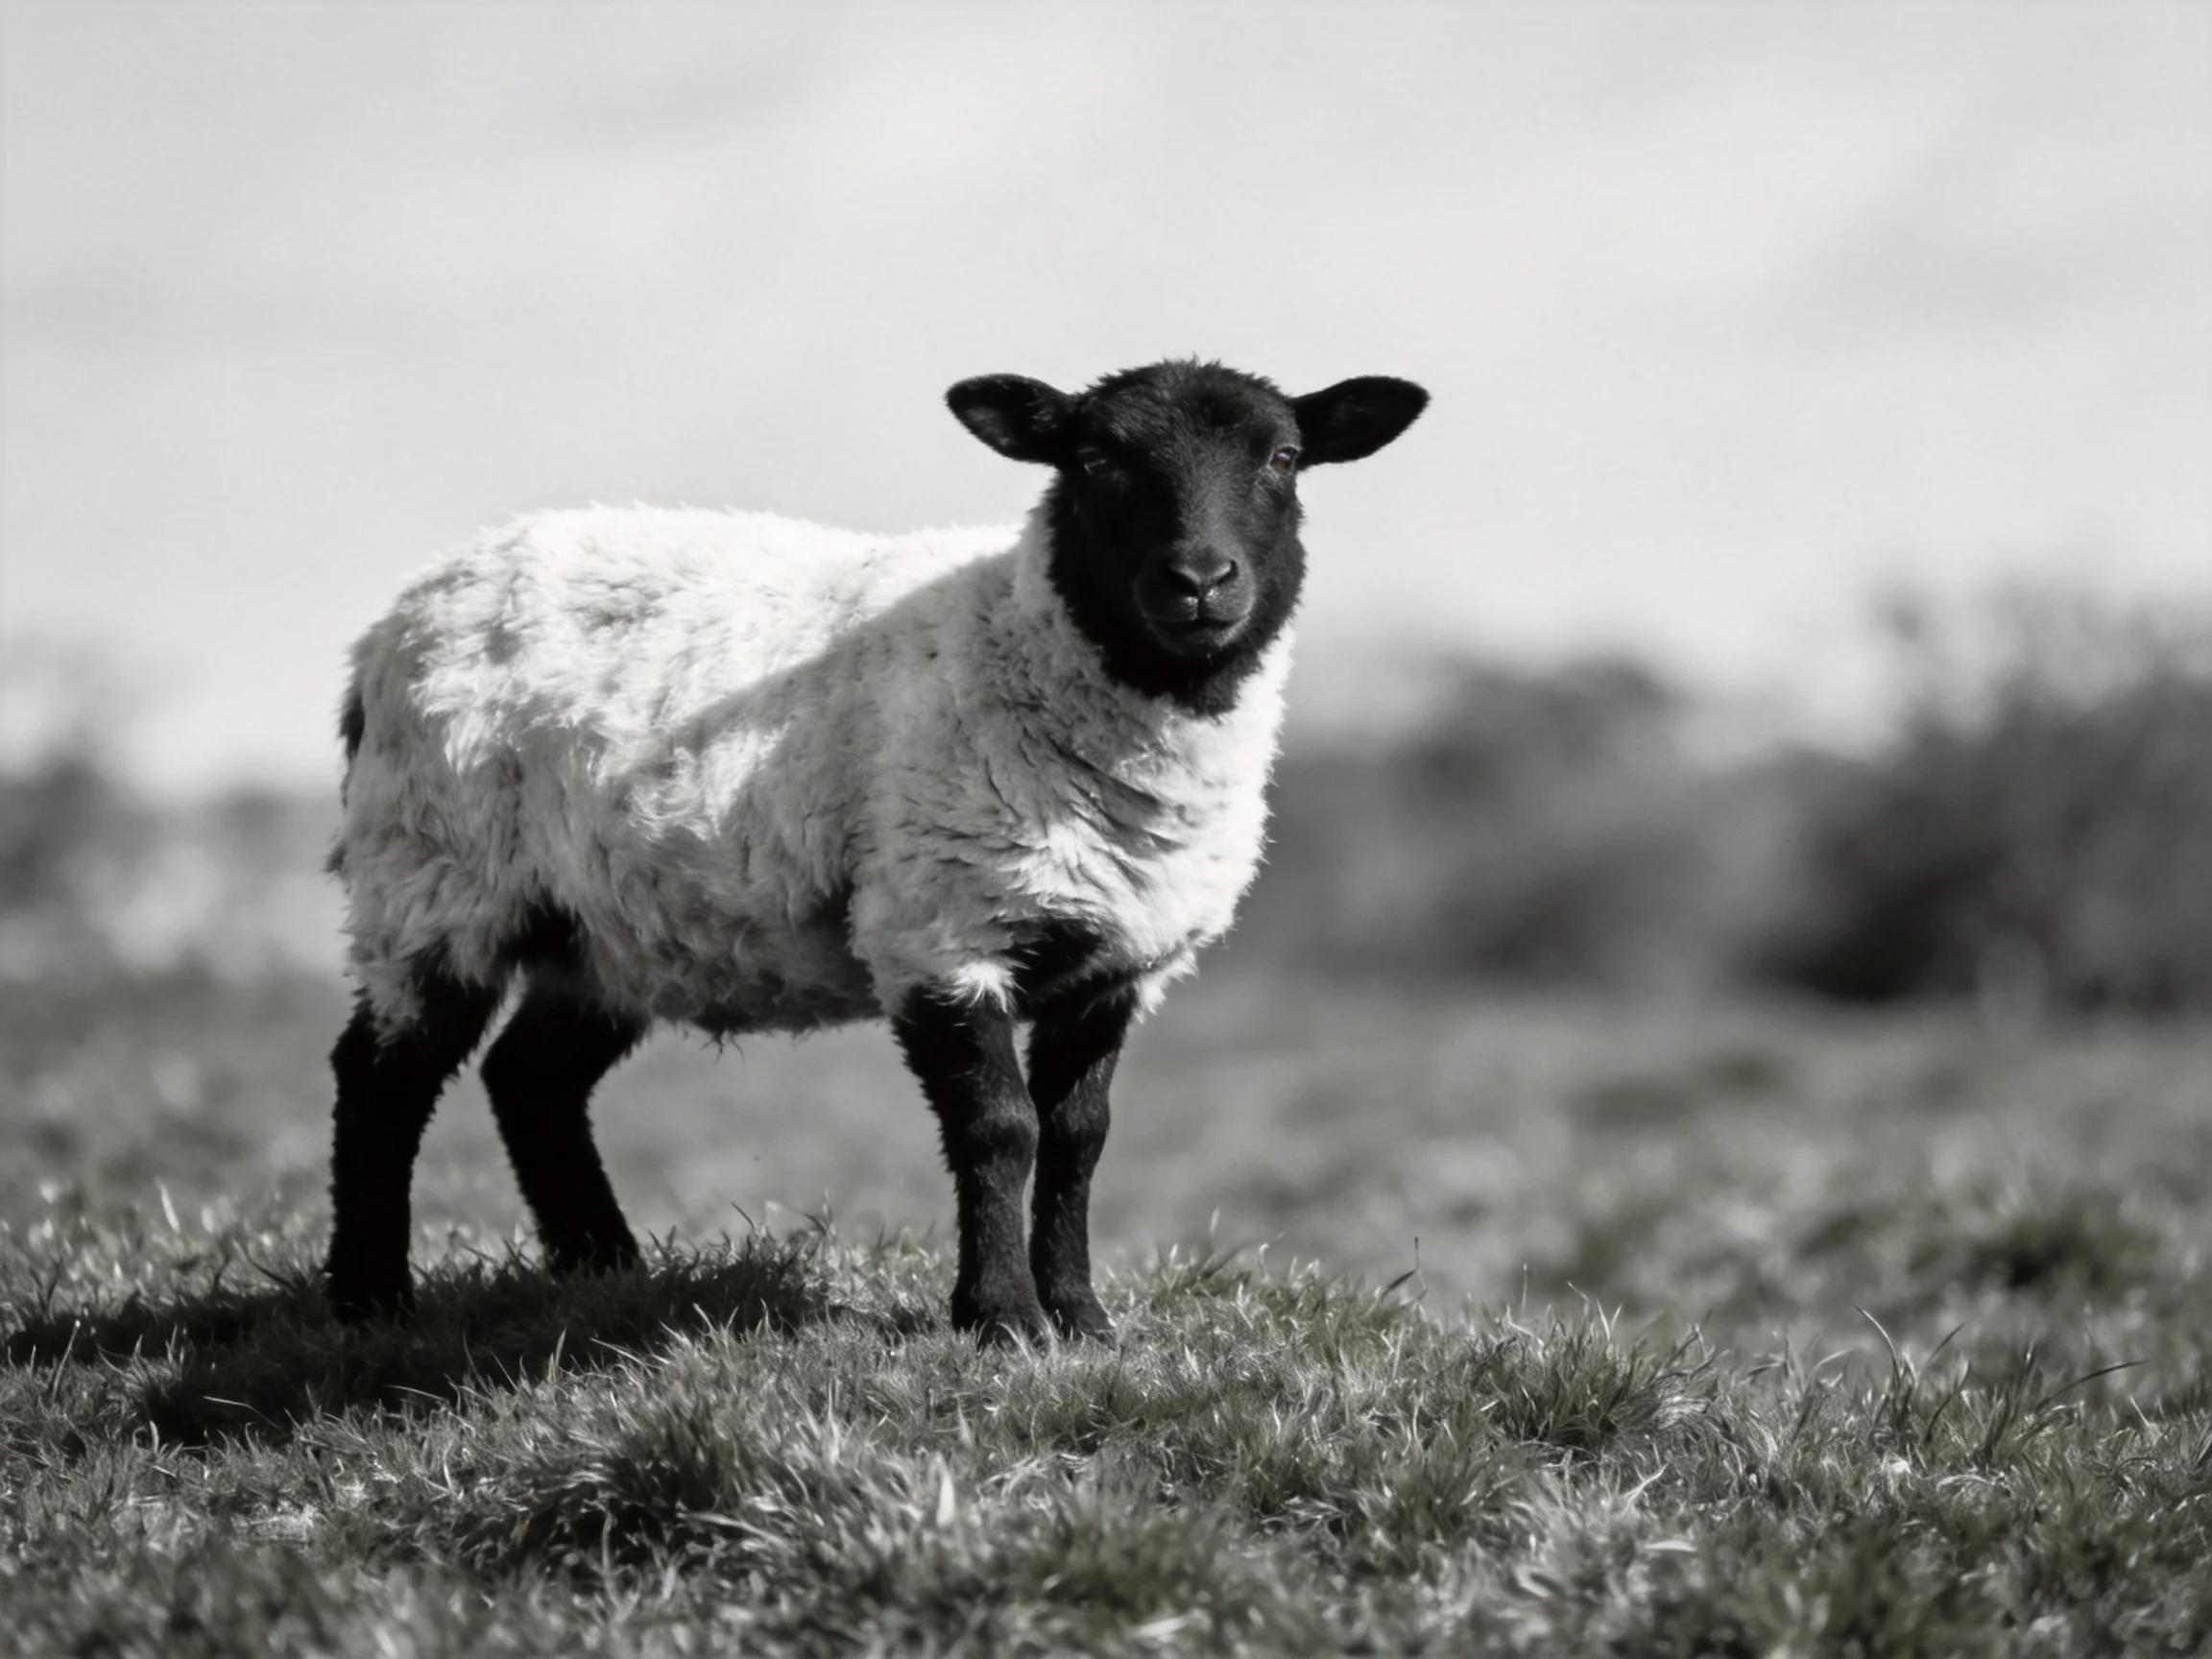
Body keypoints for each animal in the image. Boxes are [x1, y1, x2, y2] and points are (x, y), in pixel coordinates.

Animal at [324, 358, 1428, 1342]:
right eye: (1096, 459)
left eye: (1283, 457)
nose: (1200, 580)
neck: (1030, 641)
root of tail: (386, 630)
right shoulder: (939, 926)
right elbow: (1001, 1128)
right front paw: (1001, 1319)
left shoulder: (1115, 961)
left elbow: (1079, 1138)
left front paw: (1081, 1318)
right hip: (433, 878)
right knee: (380, 1079)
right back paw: (371, 1301)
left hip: (606, 927)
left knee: (531, 1081)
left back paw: (606, 1274)